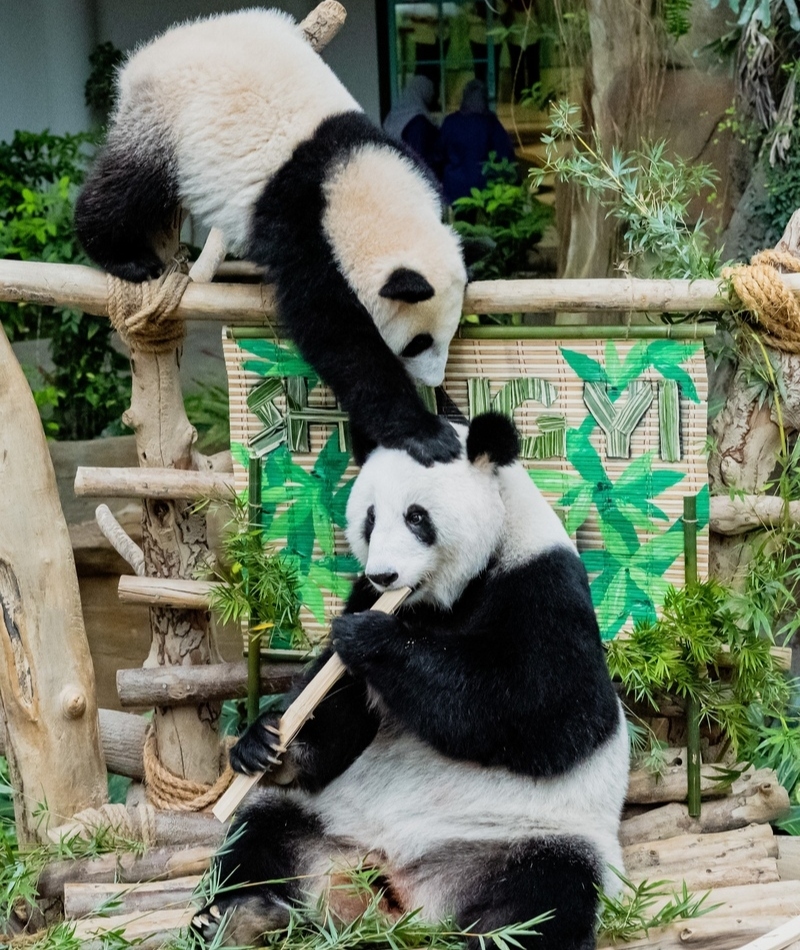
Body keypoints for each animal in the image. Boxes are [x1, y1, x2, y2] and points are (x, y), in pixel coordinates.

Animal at [73, 8, 468, 464]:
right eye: (418, 343)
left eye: (449, 333)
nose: (435, 379)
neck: (355, 183)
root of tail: (152, 50)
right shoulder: (304, 231)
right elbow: (339, 339)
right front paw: (426, 432)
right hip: (164, 120)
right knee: (129, 184)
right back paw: (122, 255)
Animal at [195, 414, 632, 950]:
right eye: (369, 518)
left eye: (417, 517)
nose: (384, 575)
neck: (436, 603)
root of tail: (399, 897)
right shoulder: (364, 596)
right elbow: (338, 717)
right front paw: (265, 740)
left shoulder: (543, 584)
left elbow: (544, 709)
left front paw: (371, 639)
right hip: (324, 821)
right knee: (258, 834)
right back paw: (239, 916)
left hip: (534, 839)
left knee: (547, 896)